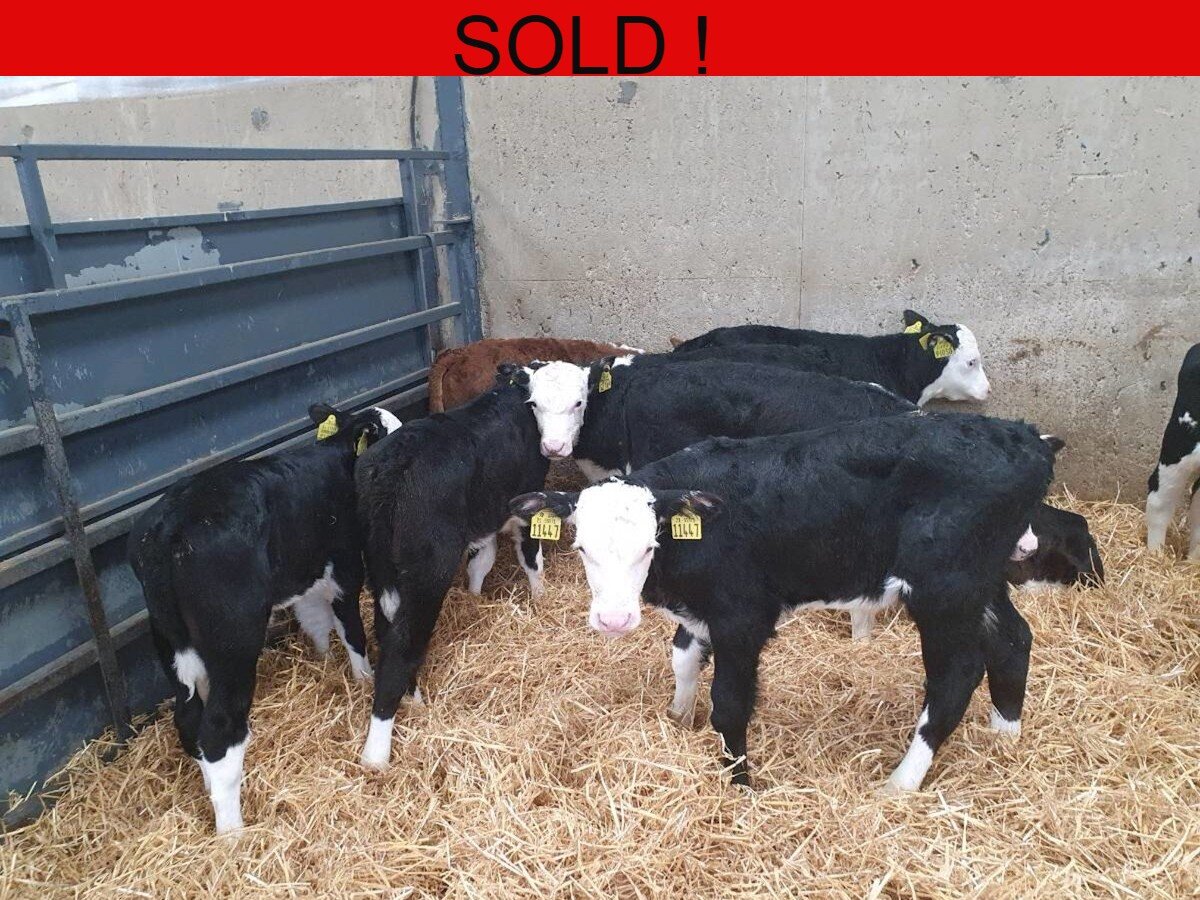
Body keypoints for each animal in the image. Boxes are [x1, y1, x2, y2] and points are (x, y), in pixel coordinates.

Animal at [127, 403, 402, 833]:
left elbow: (314, 619)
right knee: (219, 728)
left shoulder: (304, 572)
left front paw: (324, 662)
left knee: (188, 718)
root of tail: (167, 528)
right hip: (233, 640)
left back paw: (208, 786)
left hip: (169, 638)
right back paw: (232, 832)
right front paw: (363, 677)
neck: (338, 457)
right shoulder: (344, 564)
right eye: (389, 435)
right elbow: (350, 628)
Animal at [356, 368, 548, 770]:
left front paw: (475, 597)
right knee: (403, 644)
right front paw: (542, 597)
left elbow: (482, 560)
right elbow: (530, 556)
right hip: (429, 569)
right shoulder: (527, 498)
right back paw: (377, 751)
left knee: (386, 627)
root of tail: (393, 466)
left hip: (378, 563)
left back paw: (411, 698)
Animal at [510, 413, 1056, 792]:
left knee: (956, 675)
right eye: (582, 547)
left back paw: (901, 783)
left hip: (945, 586)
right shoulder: (700, 609)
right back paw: (1004, 738)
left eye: (649, 545)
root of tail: (1023, 436)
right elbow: (683, 659)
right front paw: (677, 718)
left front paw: (739, 784)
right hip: (981, 579)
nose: (614, 619)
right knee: (1012, 640)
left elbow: (729, 706)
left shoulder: (742, 617)